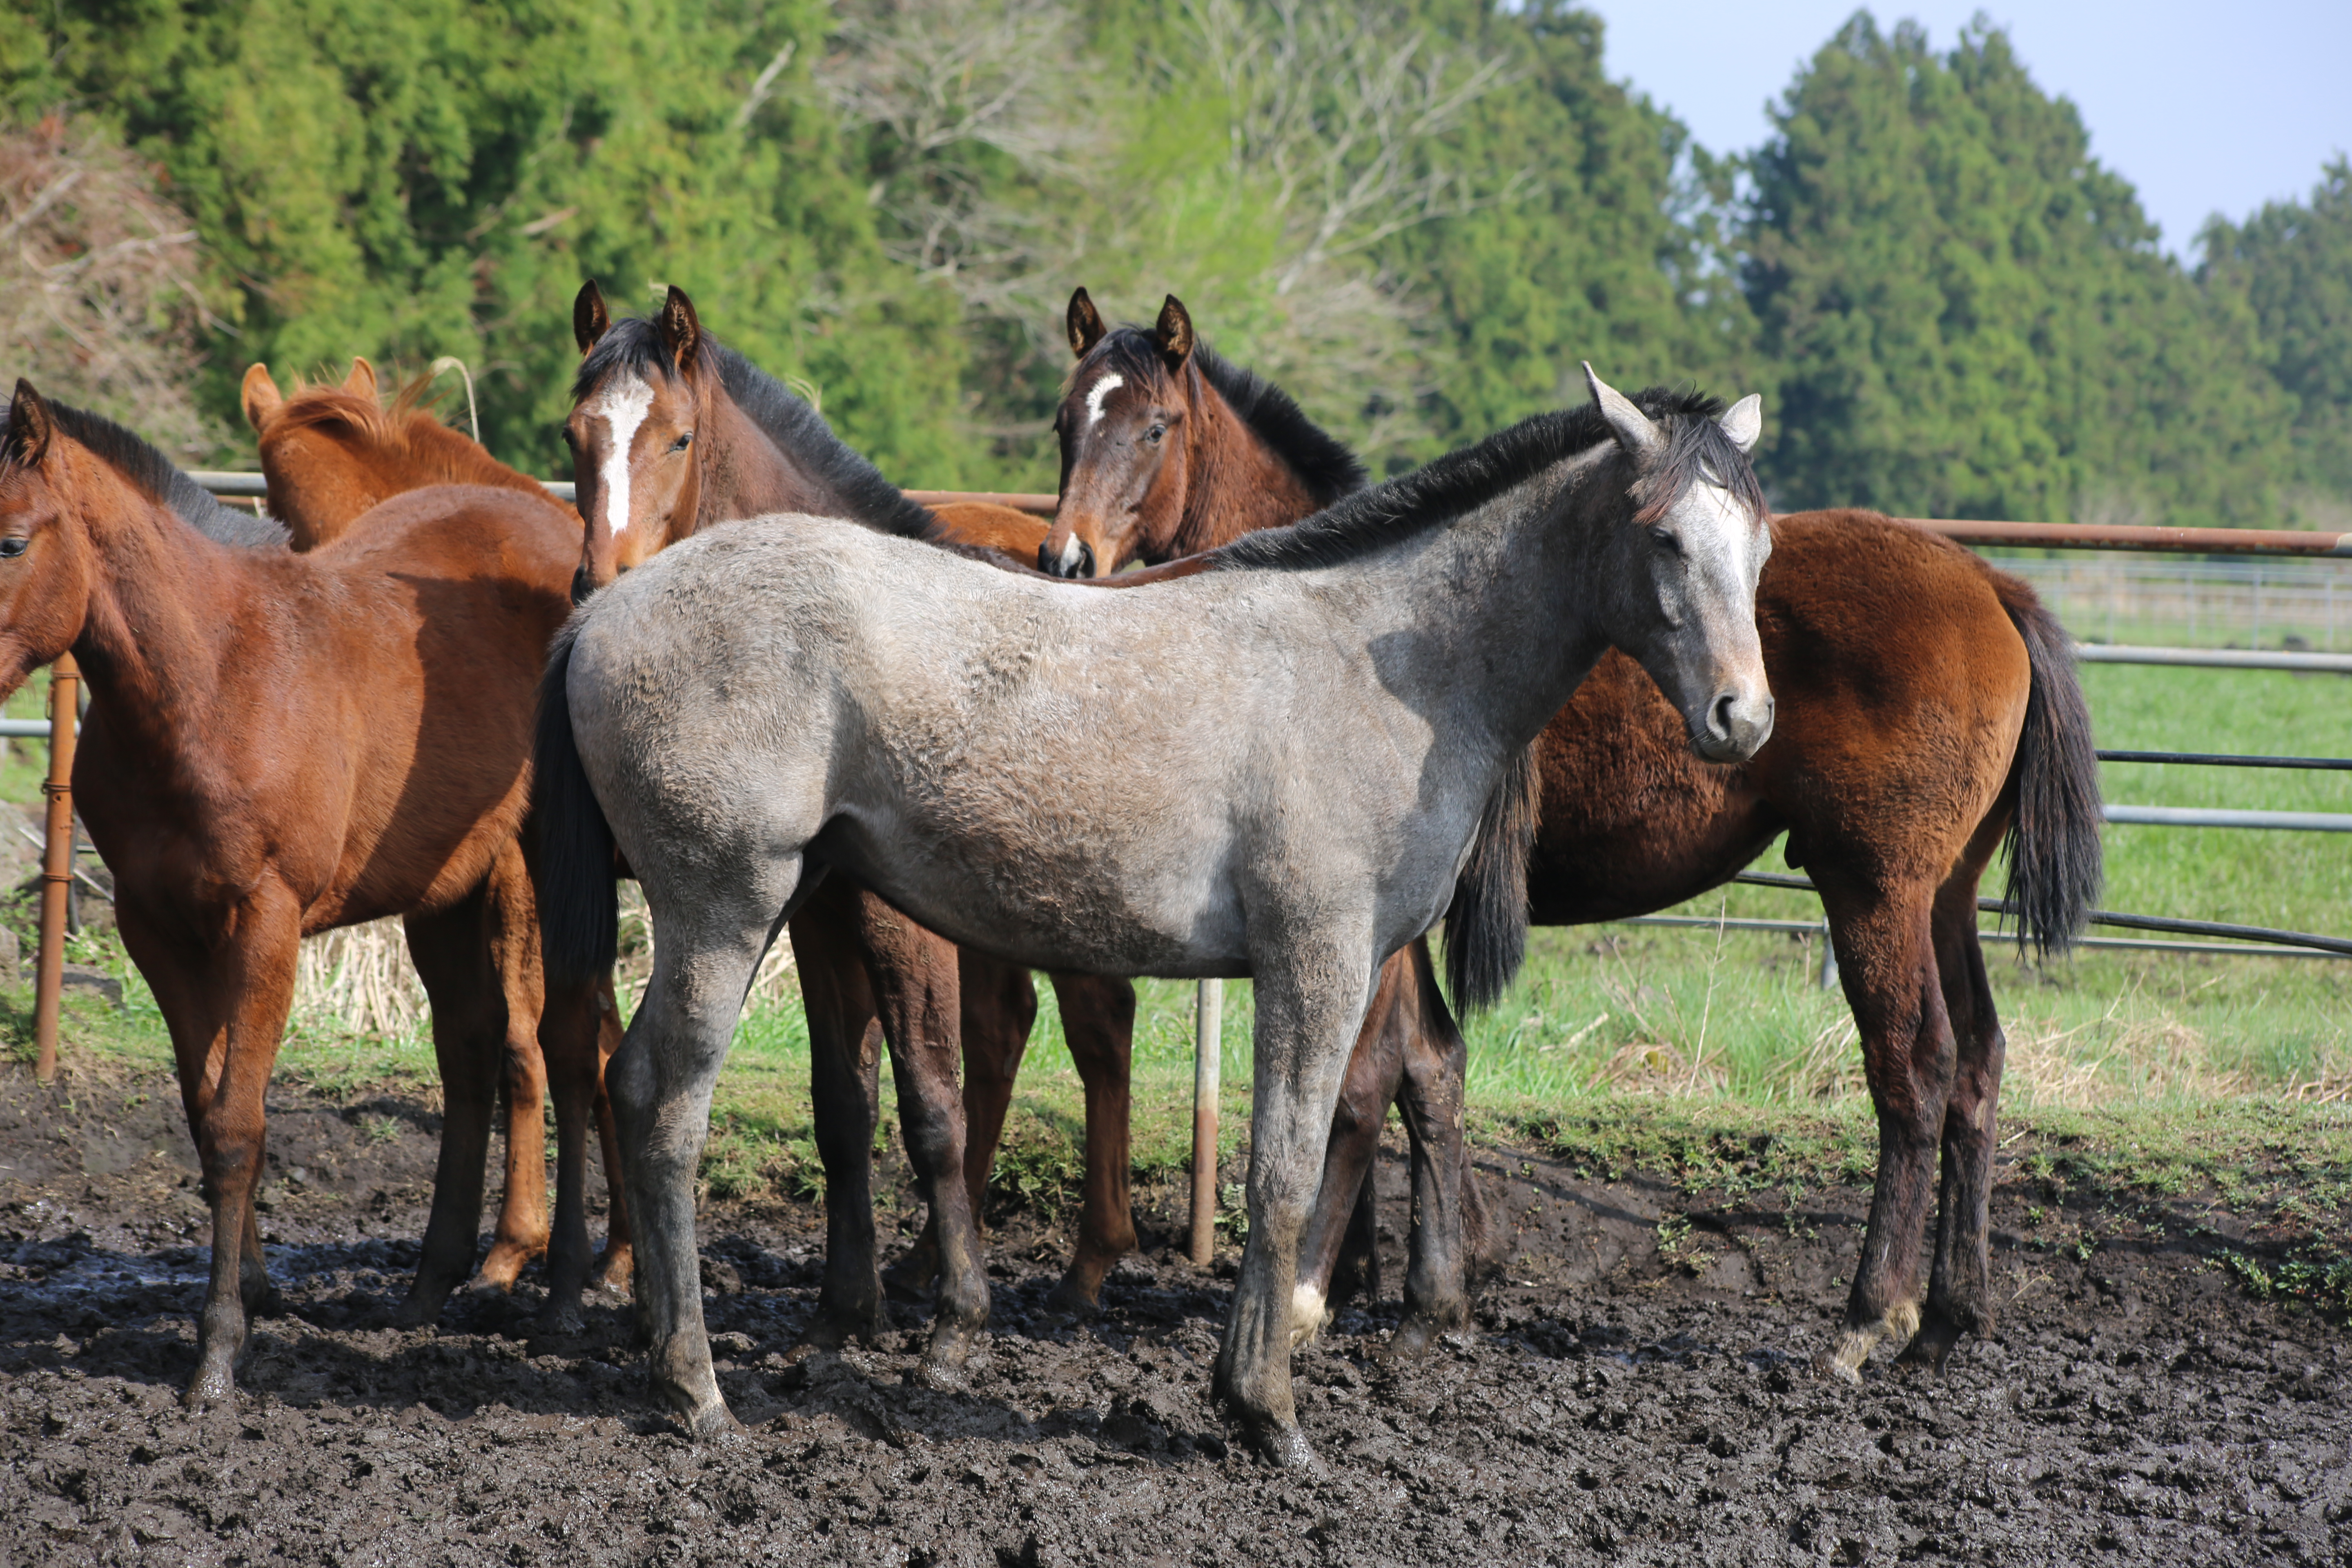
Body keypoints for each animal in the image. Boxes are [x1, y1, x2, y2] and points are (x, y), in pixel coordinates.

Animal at [0, 383, 588, 1410]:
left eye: (11, 541)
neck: (211, 677)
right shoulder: (158, 930)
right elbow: (207, 1112)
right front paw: (256, 1288)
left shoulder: (266, 922)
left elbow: (239, 1124)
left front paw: (218, 1352)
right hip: (443, 897)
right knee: (472, 1051)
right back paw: (433, 1283)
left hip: (538, 874)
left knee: (554, 1042)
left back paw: (553, 1283)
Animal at [238, 364, 635, 1297]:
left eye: (281, 510)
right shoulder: (450, 895)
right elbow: (545, 1046)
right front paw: (604, 1253)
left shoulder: (521, 886)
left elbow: (529, 1047)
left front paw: (515, 1246)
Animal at [534, 369, 1768, 1457]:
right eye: (1663, 537)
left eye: (1757, 547)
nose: (1741, 717)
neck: (1386, 663)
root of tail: (606, 611)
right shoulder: (1315, 962)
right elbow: (1280, 1172)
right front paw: (1268, 1413)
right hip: (723, 910)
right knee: (663, 1106)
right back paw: (697, 1390)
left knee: (627, 1084)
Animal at [1020, 291, 2107, 1373]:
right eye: (1065, 421)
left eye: (1154, 426)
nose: (1066, 560)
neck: (1366, 622)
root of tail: (1991, 585)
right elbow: (1416, 1067)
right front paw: (1411, 1270)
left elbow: (1373, 1079)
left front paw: (1326, 1285)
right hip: (1943, 897)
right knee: (1976, 1063)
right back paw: (1952, 1311)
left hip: (1873, 892)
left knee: (1913, 1068)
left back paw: (1870, 1312)